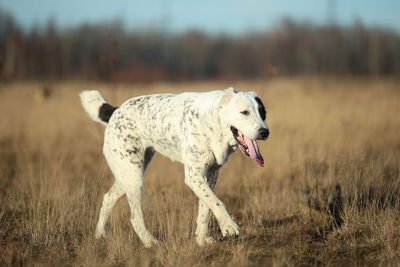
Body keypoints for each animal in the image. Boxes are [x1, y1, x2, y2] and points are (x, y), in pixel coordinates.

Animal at [79, 88, 268, 249]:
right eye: (244, 112)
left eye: (263, 112)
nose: (265, 132)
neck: (213, 122)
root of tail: (115, 110)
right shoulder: (194, 176)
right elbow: (216, 201)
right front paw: (228, 226)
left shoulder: (211, 174)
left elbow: (205, 207)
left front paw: (201, 239)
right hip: (134, 177)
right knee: (135, 217)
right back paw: (150, 242)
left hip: (128, 174)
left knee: (108, 198)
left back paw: (100, 235)